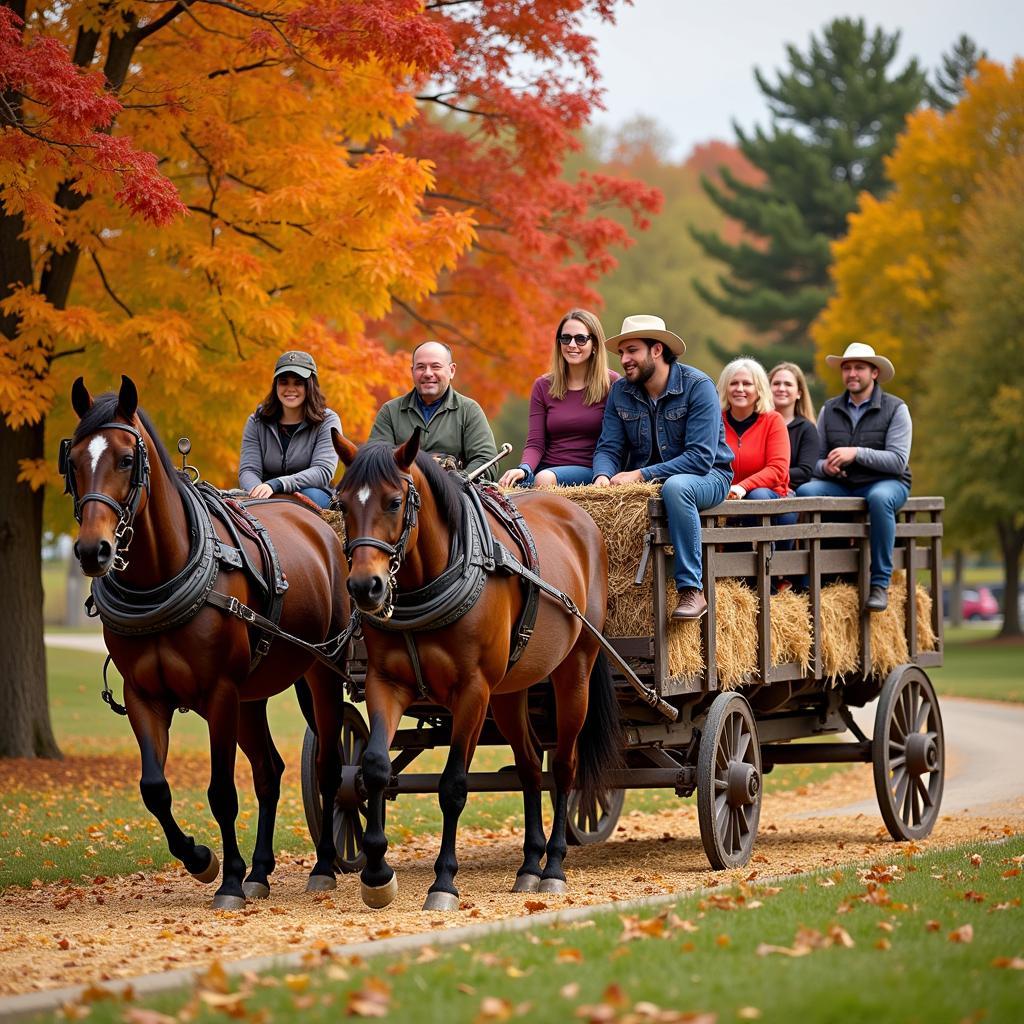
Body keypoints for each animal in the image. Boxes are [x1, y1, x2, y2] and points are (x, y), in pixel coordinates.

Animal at [66, 378, 352, 913]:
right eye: (71, 460)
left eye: (125, 459)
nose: (93, 551)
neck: (164, 573)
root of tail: (321, 526)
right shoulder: (144, 695)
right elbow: (154, 788)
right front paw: (202, 860)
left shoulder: (219, 693)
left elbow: (221, 791)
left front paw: (230, 880)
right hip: (251, 697)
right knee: (268, 771)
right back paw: (261, 871)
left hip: (322, 672)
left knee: (329, 768)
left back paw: (323, 866)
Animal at [335, 430, 618, 913]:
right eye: (341, 504)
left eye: (394, 502)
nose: (364, 587)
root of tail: (580, 517)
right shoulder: (385, 683)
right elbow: (373, 767)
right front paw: (376, 874)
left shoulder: (472, 691)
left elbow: (452, 785)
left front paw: (444, 881)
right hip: (508, 693)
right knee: (529, 767)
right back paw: (529, 866)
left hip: (574, 673)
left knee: (564, 766)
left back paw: (553, 867)